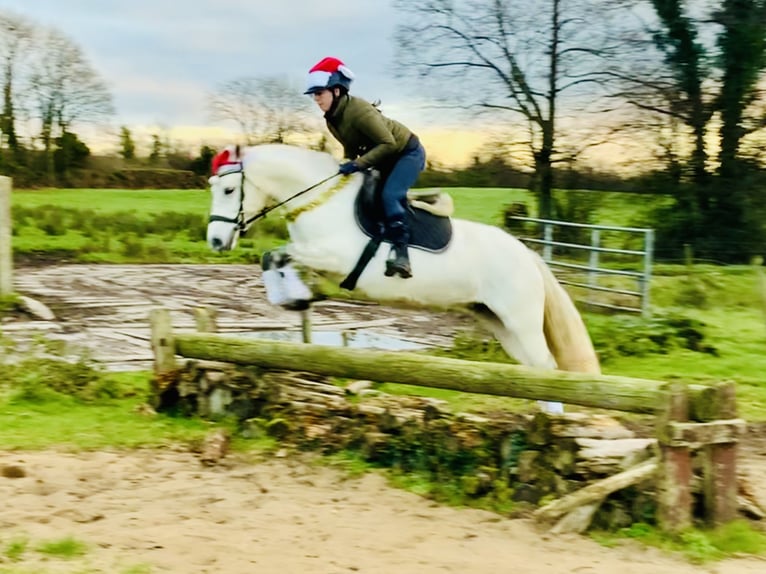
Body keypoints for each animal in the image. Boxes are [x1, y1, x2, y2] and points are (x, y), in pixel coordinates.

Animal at [207, 146, 604, 408]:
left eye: (228, 190)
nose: (214, 241)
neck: (321, 200)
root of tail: (528, 256)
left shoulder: (336, 257)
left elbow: (281, 254)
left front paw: (293, 294)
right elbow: (273, 257)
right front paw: (295, 297)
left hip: (520, 320)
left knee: (546, 369)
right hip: (498, 322)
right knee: (534, 372)